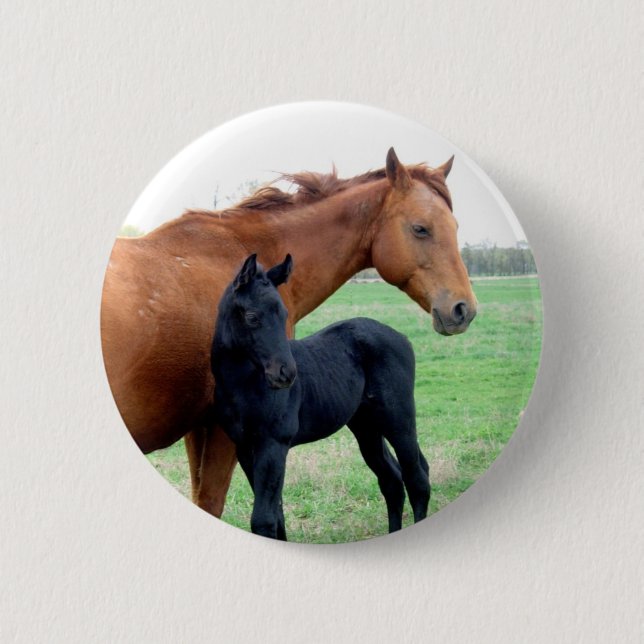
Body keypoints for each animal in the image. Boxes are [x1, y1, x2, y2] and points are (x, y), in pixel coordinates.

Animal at [211, 253, 430, 540]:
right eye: (251, 316)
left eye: (284, 314)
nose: (286, 373)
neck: (244, 386)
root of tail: (402, 337)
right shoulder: (246, 449)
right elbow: (278, 516)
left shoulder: (273, 444)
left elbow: (264, 519)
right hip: (366, 426)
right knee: (391, 480)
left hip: (398, 419)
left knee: (417, 479)